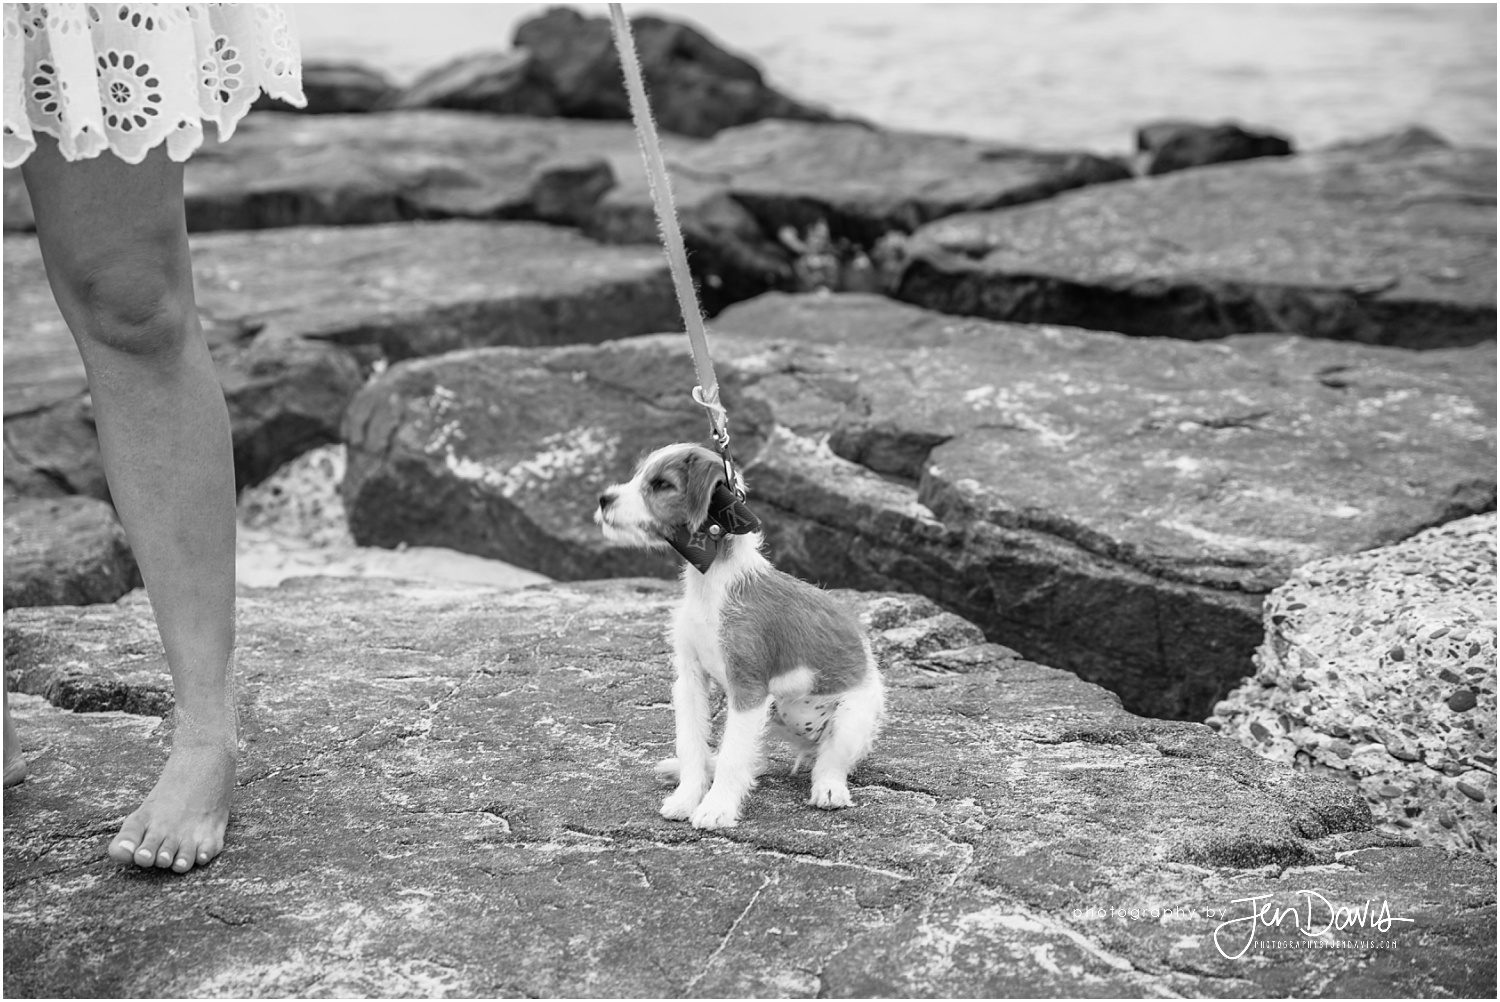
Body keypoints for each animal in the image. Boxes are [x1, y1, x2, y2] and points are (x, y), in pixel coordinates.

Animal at [594, 444, 882, 828]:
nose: (603, 499)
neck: (714, 582)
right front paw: (687, 796)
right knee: (756, 760)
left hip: (851, 716)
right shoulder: (690, 681)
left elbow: (733, 757)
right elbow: (693, 745)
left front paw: (716, 808)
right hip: (772, 712)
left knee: (829, 761)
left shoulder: (748, 688)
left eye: (660, 484)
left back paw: (830, 790)